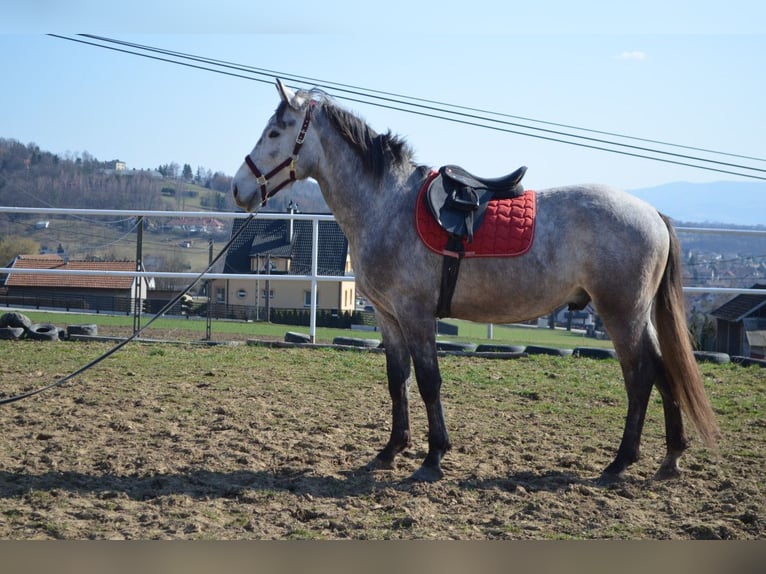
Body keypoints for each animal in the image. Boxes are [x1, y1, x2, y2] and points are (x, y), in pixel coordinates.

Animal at [231, 79, 719, 484]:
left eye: (275, 133)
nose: (239, 189)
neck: (387, 205)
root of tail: (652, 214)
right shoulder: (389, 316)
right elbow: (397, 379)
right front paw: (392, 450)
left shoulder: (416, 314)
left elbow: (428, 381)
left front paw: (433, 458)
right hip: (637, 316)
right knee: (662, 370)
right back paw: (670, 458)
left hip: (621, 314)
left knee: (640, 375)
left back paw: (620, 462)